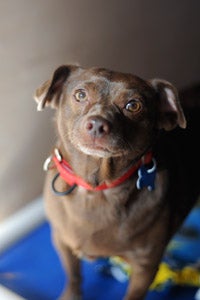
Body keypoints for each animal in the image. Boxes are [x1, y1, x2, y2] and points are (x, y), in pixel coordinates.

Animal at [34, 65, 200, 300]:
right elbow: (73, 275)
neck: (96, 188)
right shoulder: (61, 240)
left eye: (133, 105)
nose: (97, 124)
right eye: (80, 95)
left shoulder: (145, 266)